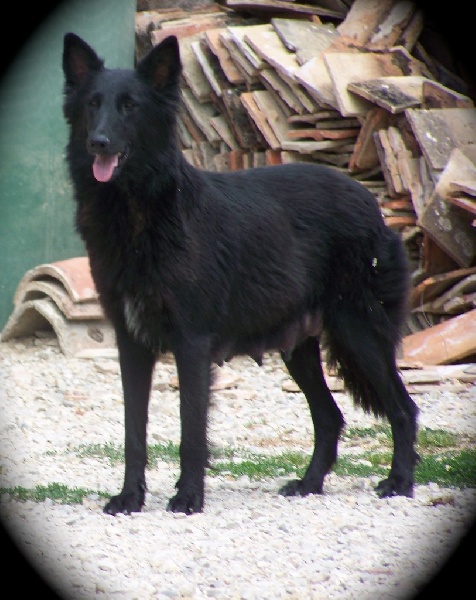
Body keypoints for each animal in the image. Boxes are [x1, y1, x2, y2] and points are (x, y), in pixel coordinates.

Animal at [62, 32, 419, 515]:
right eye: (92, 105)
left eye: (130, 106)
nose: (98, 143)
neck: (140, 212)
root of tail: (370, 203)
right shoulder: (131, 344)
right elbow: (133, 433)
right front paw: (130, 498)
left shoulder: (191, 345)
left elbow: (191, 431)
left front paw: (188, 498)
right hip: (300, 349)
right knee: (330, 418)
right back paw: (309, 483)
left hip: (358, 331)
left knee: (402, 408)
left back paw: (399, 481)